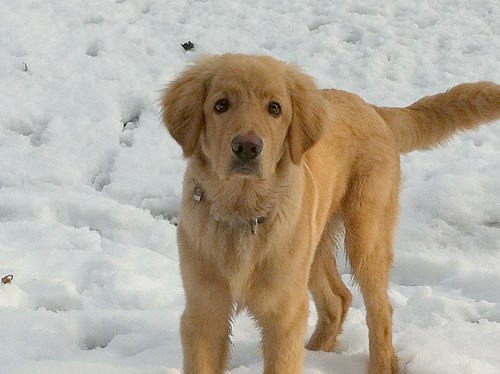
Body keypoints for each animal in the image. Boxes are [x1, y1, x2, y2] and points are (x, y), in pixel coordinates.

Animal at [160, 53, 500, 374]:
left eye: (275, 109)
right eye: (220, 105)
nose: (247, 147)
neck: (241, 210)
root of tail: (372, 108)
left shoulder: (284, 314)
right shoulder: (203, 312)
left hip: (365, 236)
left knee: (380, 311)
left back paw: (378, 364)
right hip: (314, 244)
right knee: (339, 299)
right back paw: (316, 352)